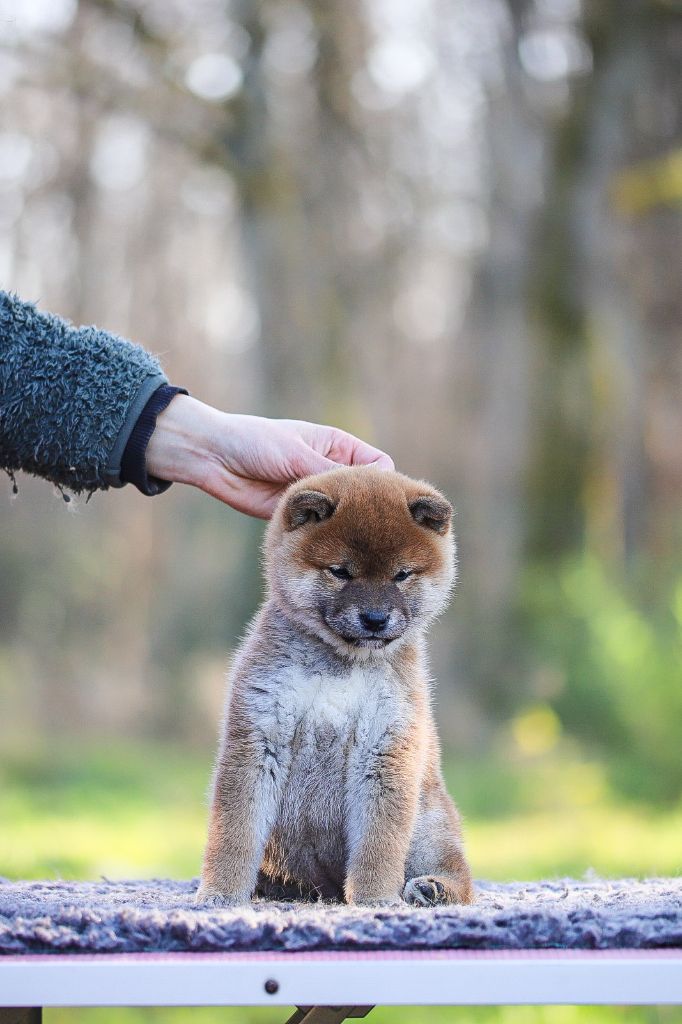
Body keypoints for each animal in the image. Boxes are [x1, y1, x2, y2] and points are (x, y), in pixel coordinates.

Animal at [196, 468, 473, 909]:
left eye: (402, 574)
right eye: (341, 571)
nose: (375, 618)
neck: (340, 665)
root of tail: (322, 889)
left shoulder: (387, 744)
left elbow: (378, 842)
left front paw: (376, 898)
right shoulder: (258, 734)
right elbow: (235, 832)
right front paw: (221, 892)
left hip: (428, 826)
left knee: (459, 874)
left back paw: (433, 888)